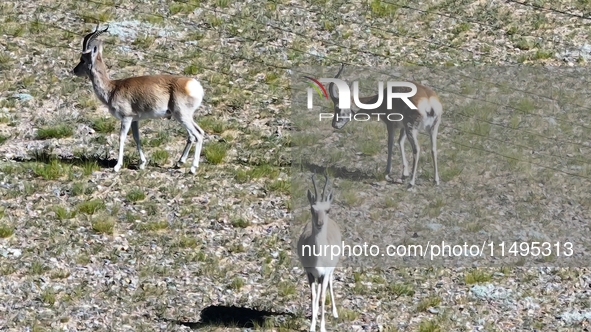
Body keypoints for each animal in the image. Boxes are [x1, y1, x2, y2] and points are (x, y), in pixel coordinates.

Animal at [72, 23, 206, 174]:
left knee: (198, 134)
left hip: (182, 116)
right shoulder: (135, 119)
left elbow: (122, 137)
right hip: (185, 116)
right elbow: (137, 138)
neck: (113, 88)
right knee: (195, 134)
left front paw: (117, 166)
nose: (74, 70)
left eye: (83, 59)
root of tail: (193, 84)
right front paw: (142, 163)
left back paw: (192, 168)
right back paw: (179, 163)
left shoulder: (126, 118)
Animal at [298, 174, 344, 332]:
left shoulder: (324, 273)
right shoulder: (310, 273)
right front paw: (312, 326)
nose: (320, 223)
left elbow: (323, 296)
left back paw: (335, 313)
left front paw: (322, 327)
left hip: (330, 271)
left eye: (328, 210)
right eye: (312, 209)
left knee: (329, 283)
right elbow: (313, 295)